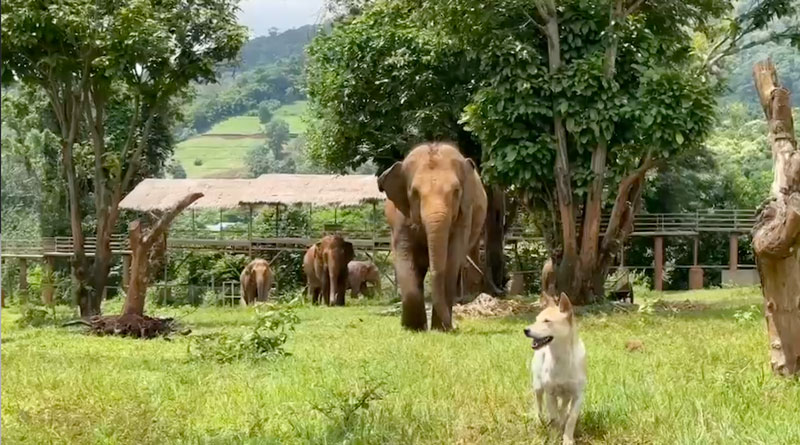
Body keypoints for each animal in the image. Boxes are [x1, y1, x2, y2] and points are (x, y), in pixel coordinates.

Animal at [380, 142, 488, 330]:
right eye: (415, 193)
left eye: (456, 191)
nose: (454, 327)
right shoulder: (401, 218)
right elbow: (404, 252)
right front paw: (413, 328)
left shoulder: (464, 214)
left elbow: (452, 257)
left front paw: (440, 329)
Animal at [524, 292, 588, 444]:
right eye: (536, 320)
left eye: (547, 321)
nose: (525, 330)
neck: (561, 356)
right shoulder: (550, 393)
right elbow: (553, 418)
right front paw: (554, 436)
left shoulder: (578, 395)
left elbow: (571, 419)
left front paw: (567, 438)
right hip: (538, 386)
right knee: (539, 404)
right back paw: (540, 419)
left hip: (566, 395)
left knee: (563, 408)